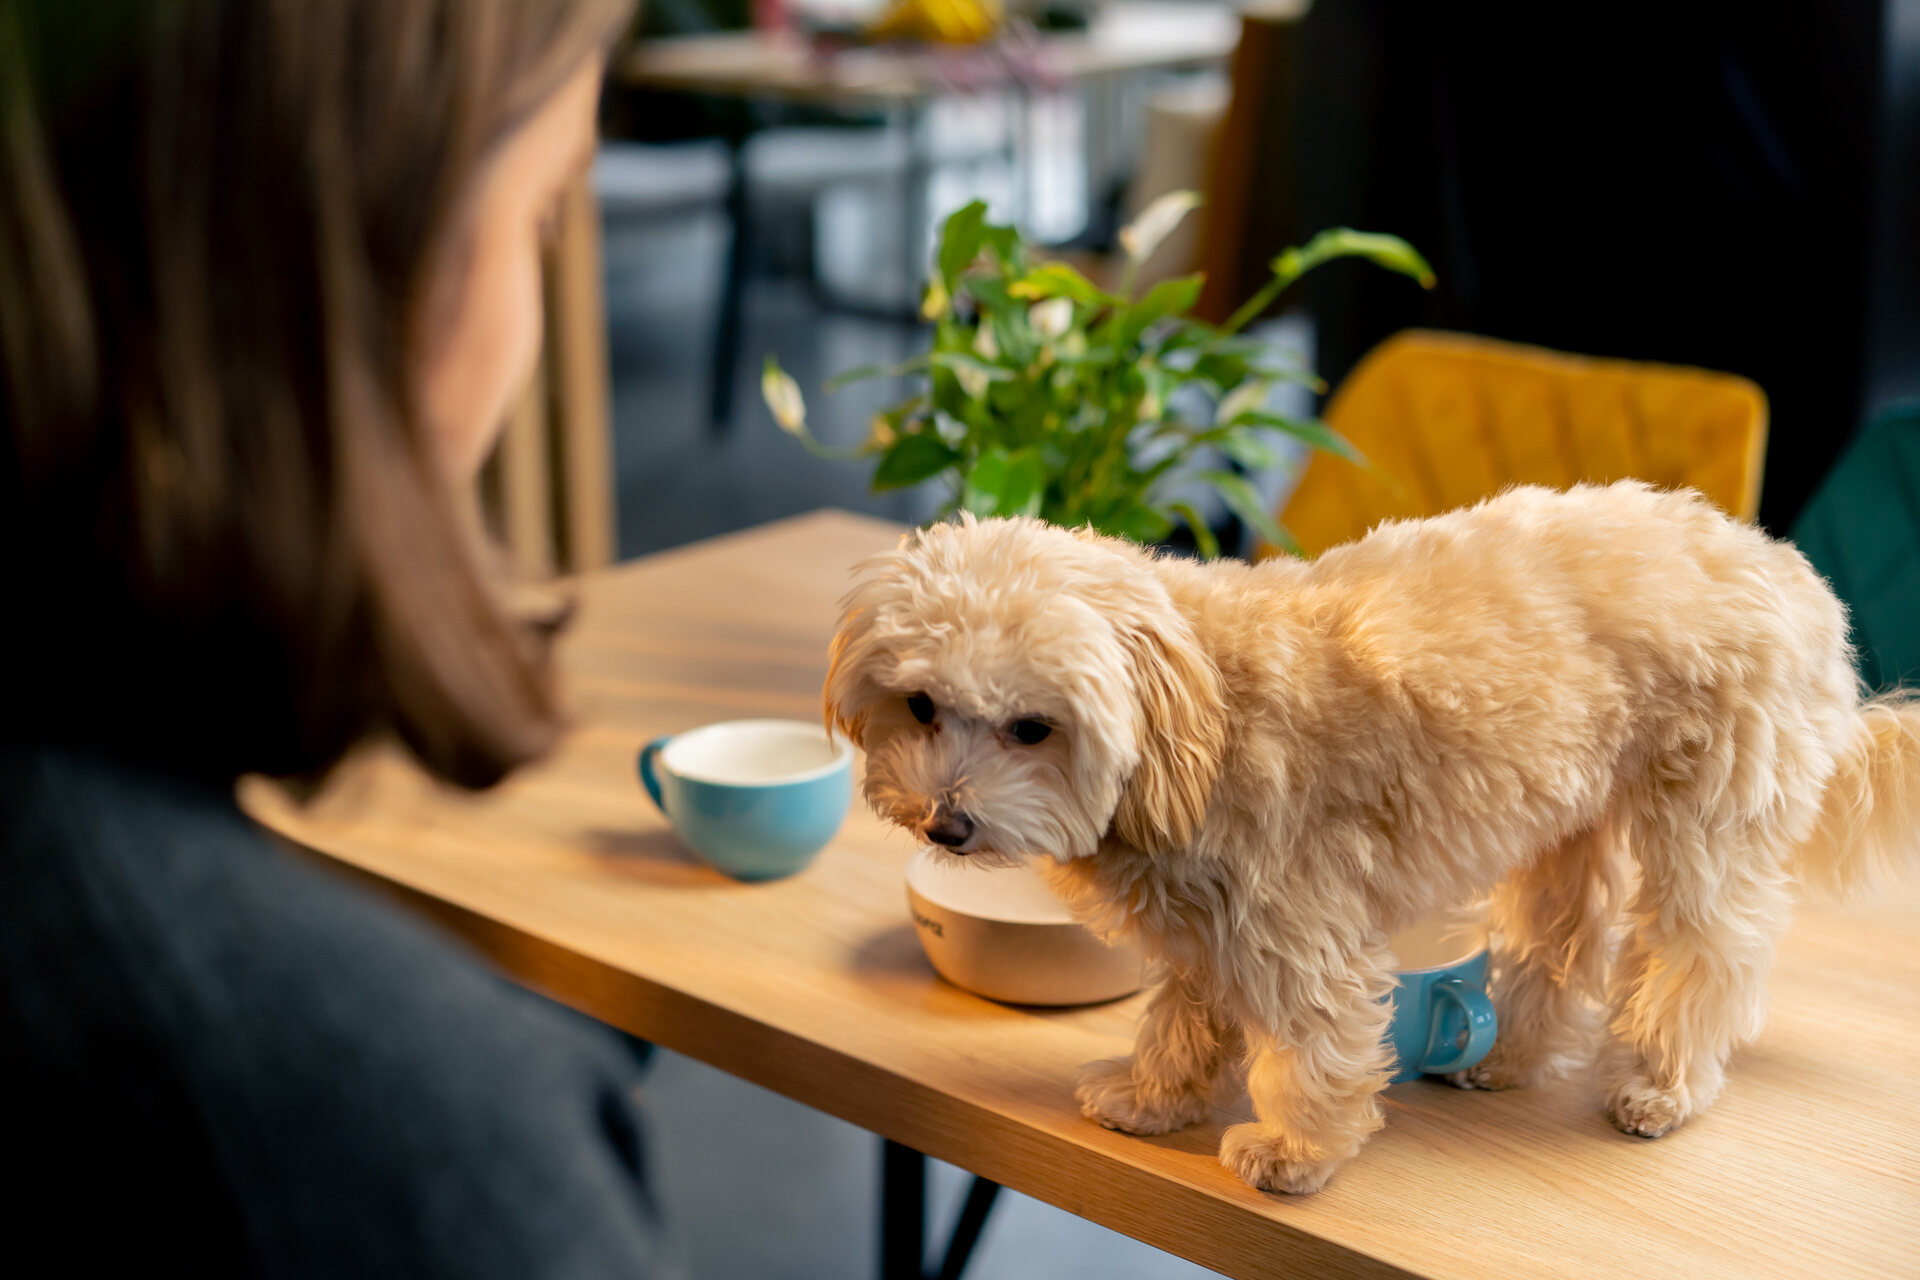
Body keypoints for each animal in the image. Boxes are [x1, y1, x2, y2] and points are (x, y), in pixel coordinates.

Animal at [825, 479, 1920, 1189]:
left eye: (1031, 727)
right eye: (922, 705)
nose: (948, 823)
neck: (1200, 713)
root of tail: (1795, 576)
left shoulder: (1293, 924)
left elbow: (1311, 1045)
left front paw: (1295, 1152)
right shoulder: (1208, 925)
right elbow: (1183, 1017)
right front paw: (1155, 1097)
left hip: (1705, 828)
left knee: (1703, 959)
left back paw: (1662, 1086)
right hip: (1565, 824)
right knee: (1559, 945)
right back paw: (1508, 1056)